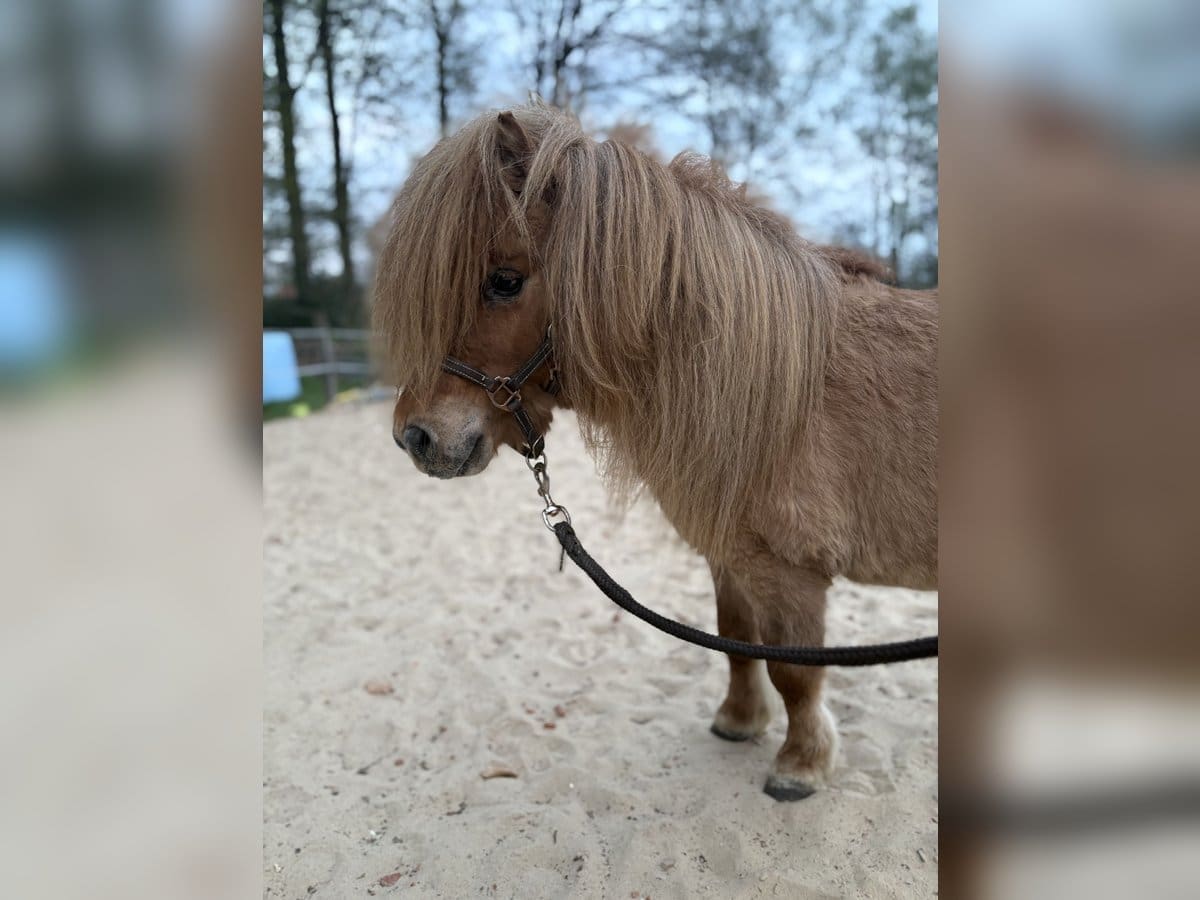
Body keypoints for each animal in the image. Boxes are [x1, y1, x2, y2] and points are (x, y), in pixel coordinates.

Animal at [373, 102, 938, 801]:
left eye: (504, 281)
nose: (414, 436)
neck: (777, 387)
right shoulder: (732, 556)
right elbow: (736, 640)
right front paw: (737, 722)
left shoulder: (789, 570)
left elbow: (796, 672)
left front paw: (800, 765)